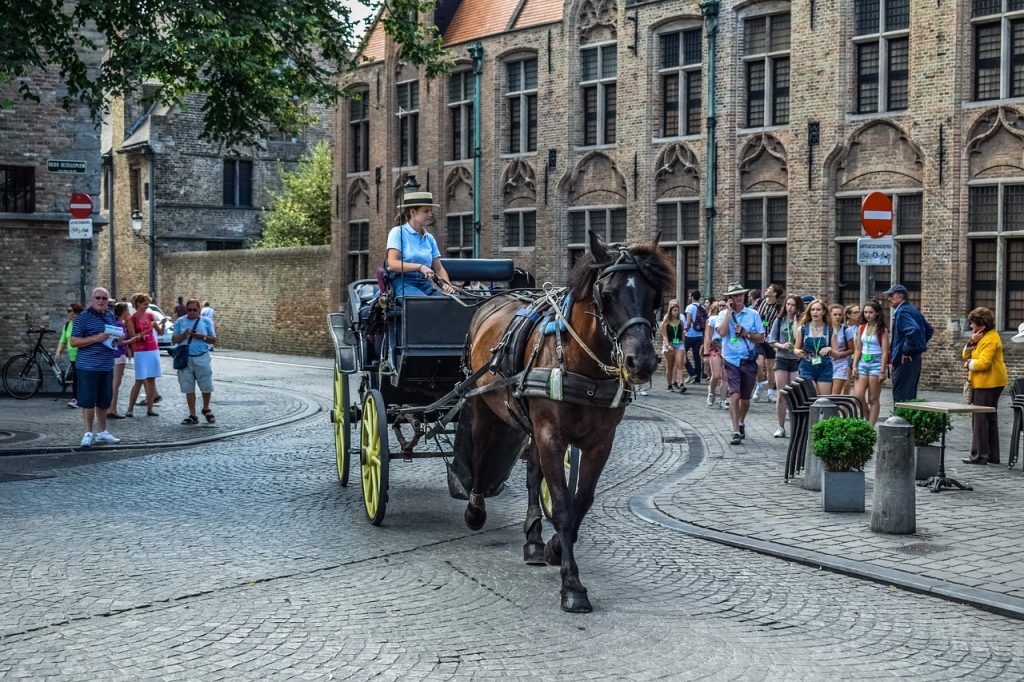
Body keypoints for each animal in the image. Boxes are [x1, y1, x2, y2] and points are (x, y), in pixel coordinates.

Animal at [456, 229, 671, 610]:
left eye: (653, 294)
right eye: (607, 294)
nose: (642, 361)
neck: (581, 364)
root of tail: (492, 301)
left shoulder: (600, 441)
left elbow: (580, 502)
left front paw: (556, 548)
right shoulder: (551, 435)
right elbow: (563, 505)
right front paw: (572, 585)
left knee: (531, 473)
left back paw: (533, 541)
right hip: (484, 406)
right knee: (481, 454)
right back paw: (476, 510)